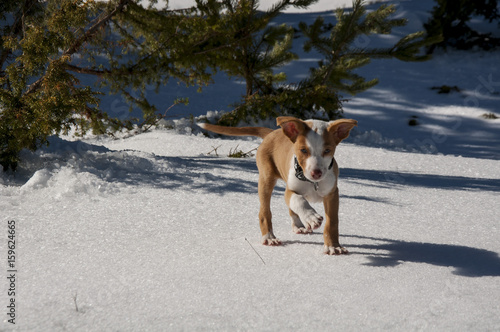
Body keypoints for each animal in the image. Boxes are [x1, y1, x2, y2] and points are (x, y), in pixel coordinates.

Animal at [197, 116, 358, 254]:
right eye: (303, 150)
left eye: (327, 150)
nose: (316, 173)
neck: (312, 183)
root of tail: (271, 133)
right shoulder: (290, 190)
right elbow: (298, 200)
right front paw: (311, 217)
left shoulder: (332, 194)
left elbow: (332, 222)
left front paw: (333, 246)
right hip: (266, 179)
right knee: (265, 212)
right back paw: (269, 237)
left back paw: (298, 226)